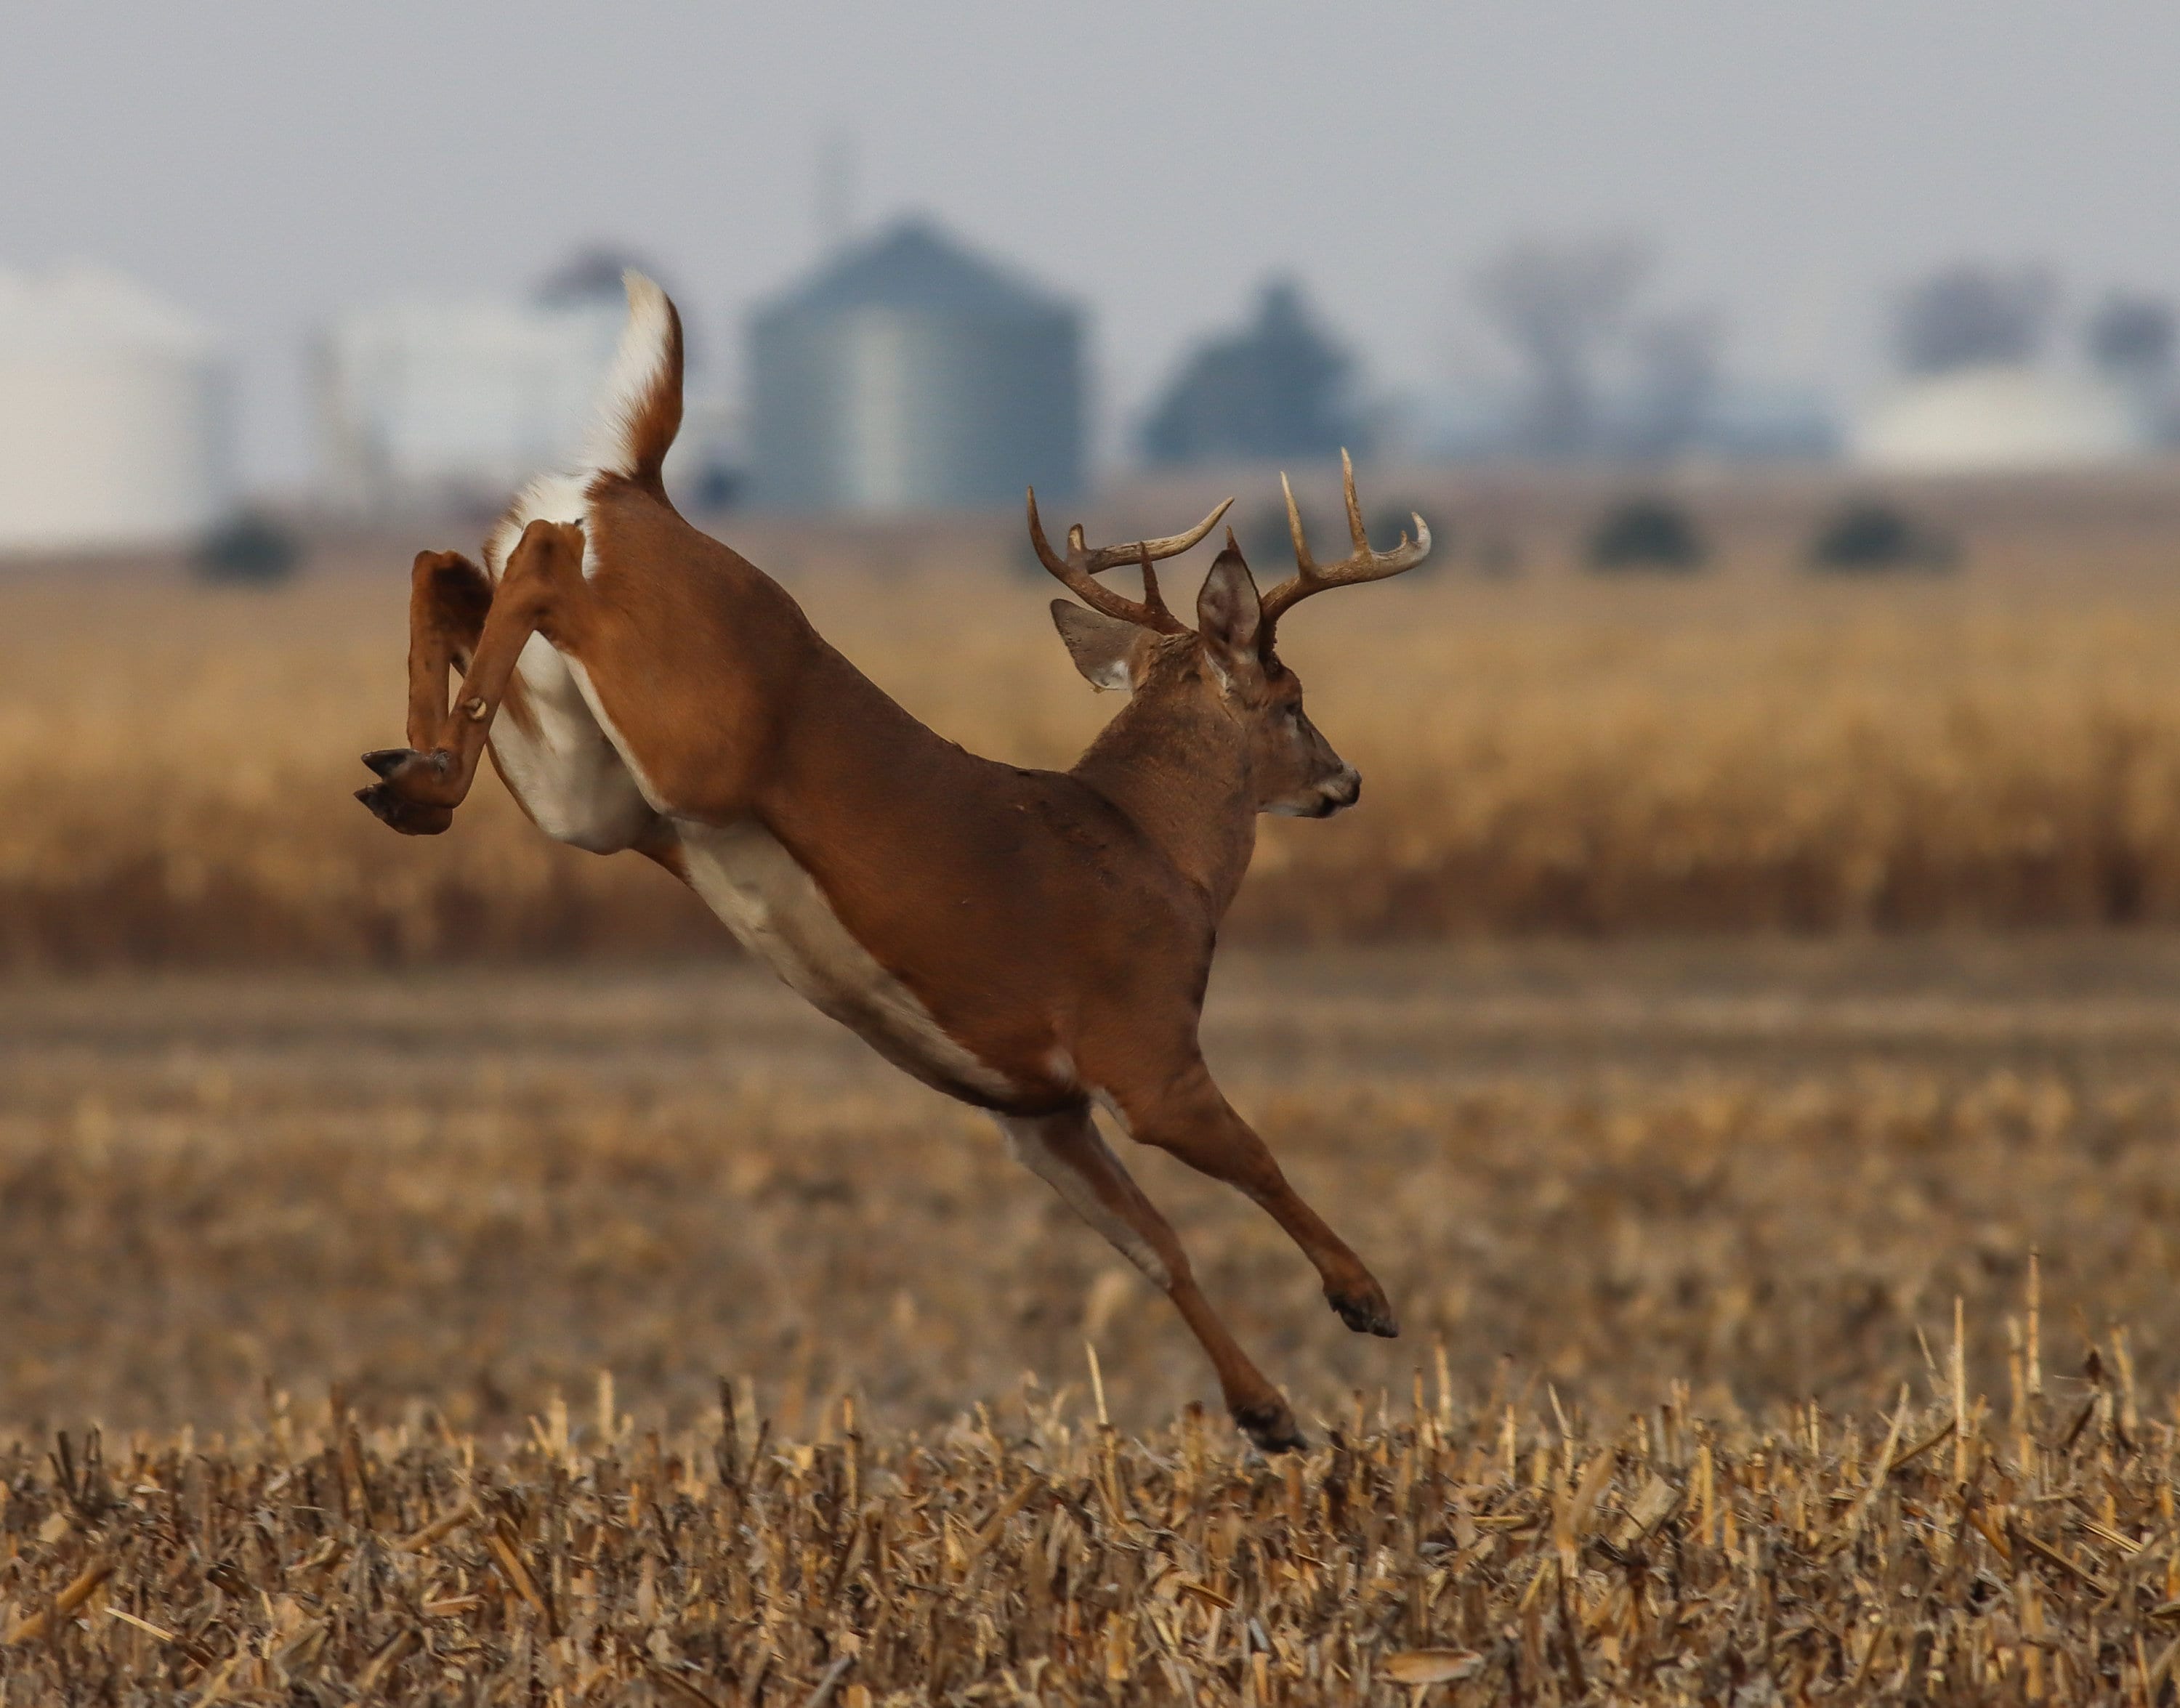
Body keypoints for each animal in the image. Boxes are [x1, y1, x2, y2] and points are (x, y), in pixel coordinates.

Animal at [357, 273, 1430, 1451]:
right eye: (1292, 699)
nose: (1345, 779)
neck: (1158, 848)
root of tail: (643, 492)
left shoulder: (1038, 1110)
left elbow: (1157, 1248)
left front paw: (1270, 1410)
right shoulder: (1145, 1050)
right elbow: (1260, 1162)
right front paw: (1365, 1296)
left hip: (588, 786)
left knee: (449, 565)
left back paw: (409, 769)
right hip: (688, 736)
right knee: (539, 551)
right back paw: (422, 766)